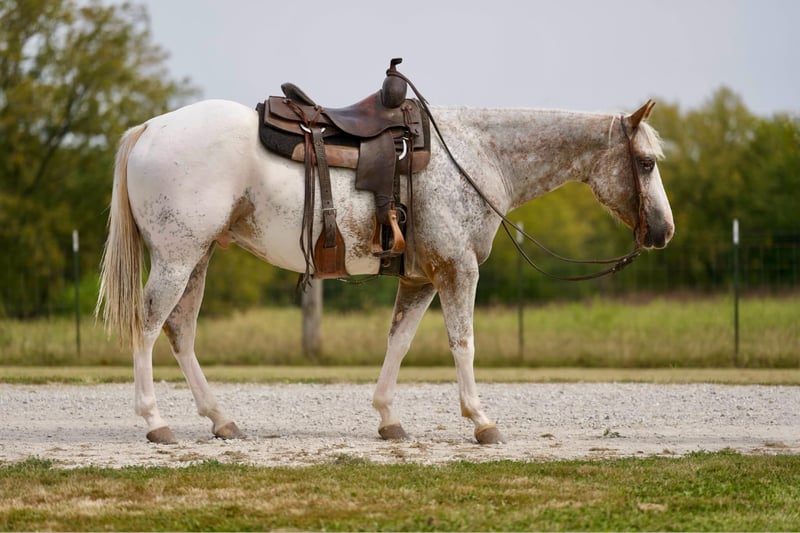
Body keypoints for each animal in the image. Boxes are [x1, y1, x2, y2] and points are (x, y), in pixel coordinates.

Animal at [96, 97, 674, 445]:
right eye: (646, 164)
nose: (664, 231)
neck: (478, 156)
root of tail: (150, 128)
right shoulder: (457, 270)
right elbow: (463, 342)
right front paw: (481, 421)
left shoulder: (419, 279)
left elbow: (399, 341)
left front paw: (388, 418)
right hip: (176, 257)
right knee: (148, 326)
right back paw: (156, 422)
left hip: (198, 258)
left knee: (180, 331)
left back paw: (221, 419)